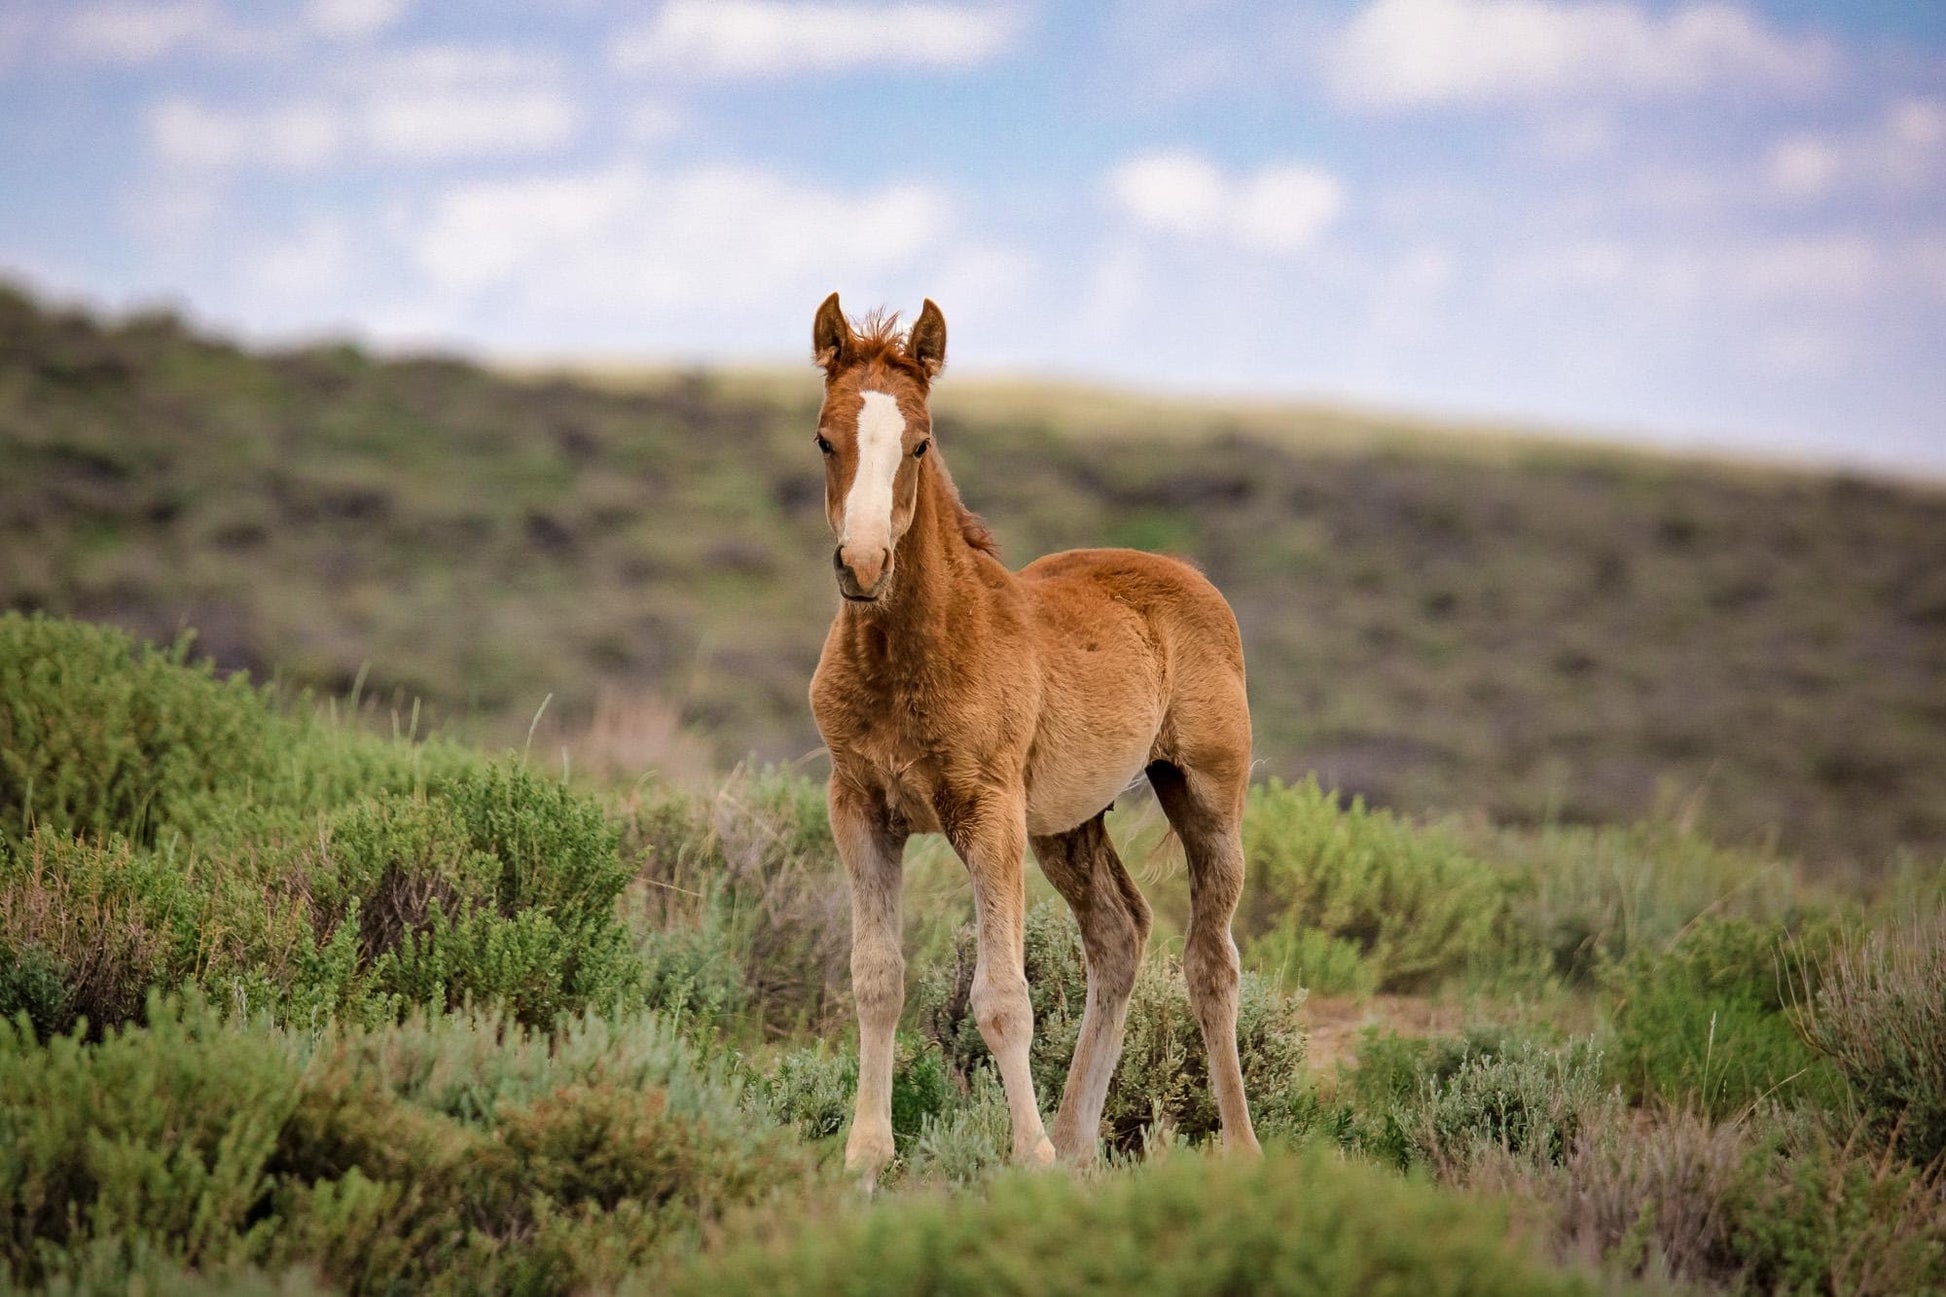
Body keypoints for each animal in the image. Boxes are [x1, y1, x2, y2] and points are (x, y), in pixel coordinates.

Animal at [805, 296, 1261, 1184]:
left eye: (921, 441)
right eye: (824, 437)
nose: (865, 564)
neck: (913, 653)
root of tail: (1191, 578)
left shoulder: (989, 815)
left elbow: (1003, 997)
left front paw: (1030, 1156)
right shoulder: (861, 807)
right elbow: (877, 977)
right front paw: (866, 1158)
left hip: (1205, 792)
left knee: (1210, 959)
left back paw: (1239, 1149)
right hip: (1068, 824)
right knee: (1118, 936)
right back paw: (1080, 1144)